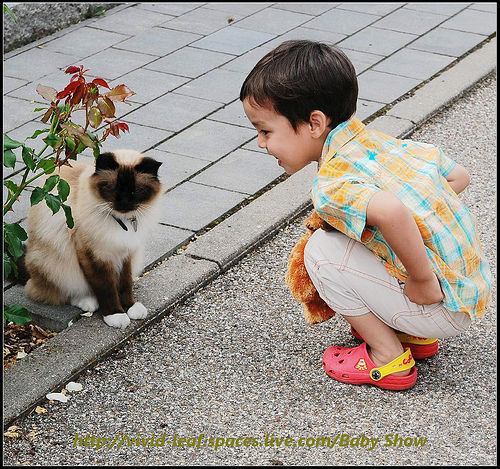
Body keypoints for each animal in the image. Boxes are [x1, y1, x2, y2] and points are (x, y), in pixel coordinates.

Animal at [22, 150, 163, 330]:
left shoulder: (126, 254)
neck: (122, 222)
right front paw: (115, 314)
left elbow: (125, 284)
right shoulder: (94, 255)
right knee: (62, 291)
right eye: (114, 189)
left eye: (134, 191)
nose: (124, 203)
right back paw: (88, 301)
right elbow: (106, 288)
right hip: (55, 264)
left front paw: (130, 307)